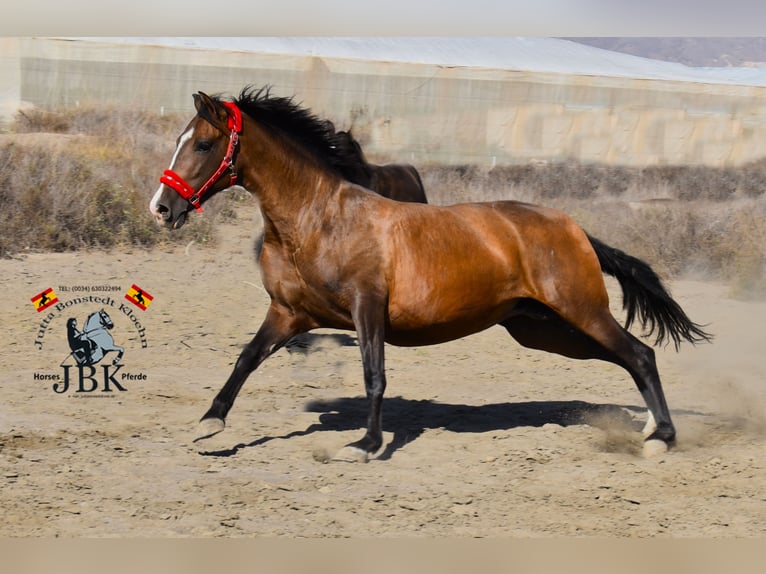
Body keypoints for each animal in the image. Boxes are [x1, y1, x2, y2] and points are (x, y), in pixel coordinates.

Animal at [150, 86, 712, 464]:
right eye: (178, 140)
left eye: (202, 145)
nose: (161, 208)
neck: (317, 219)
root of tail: (574, 228)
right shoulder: (288, 313)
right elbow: (246, 358)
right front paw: (208, 424)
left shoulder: (367, 308)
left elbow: (373, 375)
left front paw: (366, 445)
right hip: (543, 330)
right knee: (629, 357)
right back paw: (648, 426)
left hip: (580, 311)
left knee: (639, 353)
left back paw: (661, 438)